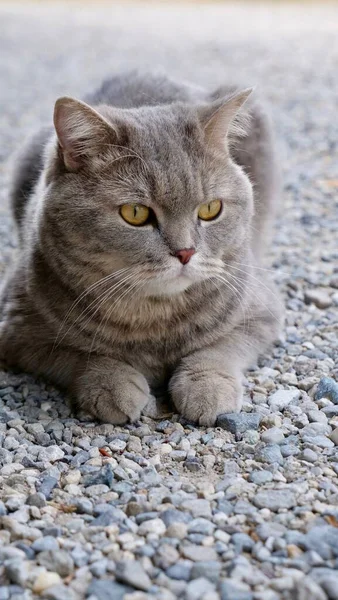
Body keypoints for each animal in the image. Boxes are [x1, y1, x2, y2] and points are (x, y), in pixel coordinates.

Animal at [0, 71, 282, 426]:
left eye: (210, 209)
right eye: (135, 213)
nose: (185, 252)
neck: (155, 319)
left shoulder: (262, 312)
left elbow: (219, 348)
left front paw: (207, 388)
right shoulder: (18, 331)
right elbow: (82, 355)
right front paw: (114, 386)